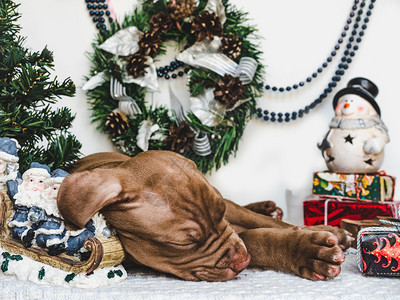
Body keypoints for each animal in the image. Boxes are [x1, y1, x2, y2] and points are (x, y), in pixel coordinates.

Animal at [57, 151, 354, 282]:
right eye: (184, 243)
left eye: (219, 212)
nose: (243, 261)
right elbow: (253, 238)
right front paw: (308, 252)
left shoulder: (228, 213)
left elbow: (260, 228)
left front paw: (313, 241)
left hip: (237, 207)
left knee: (264, 218)